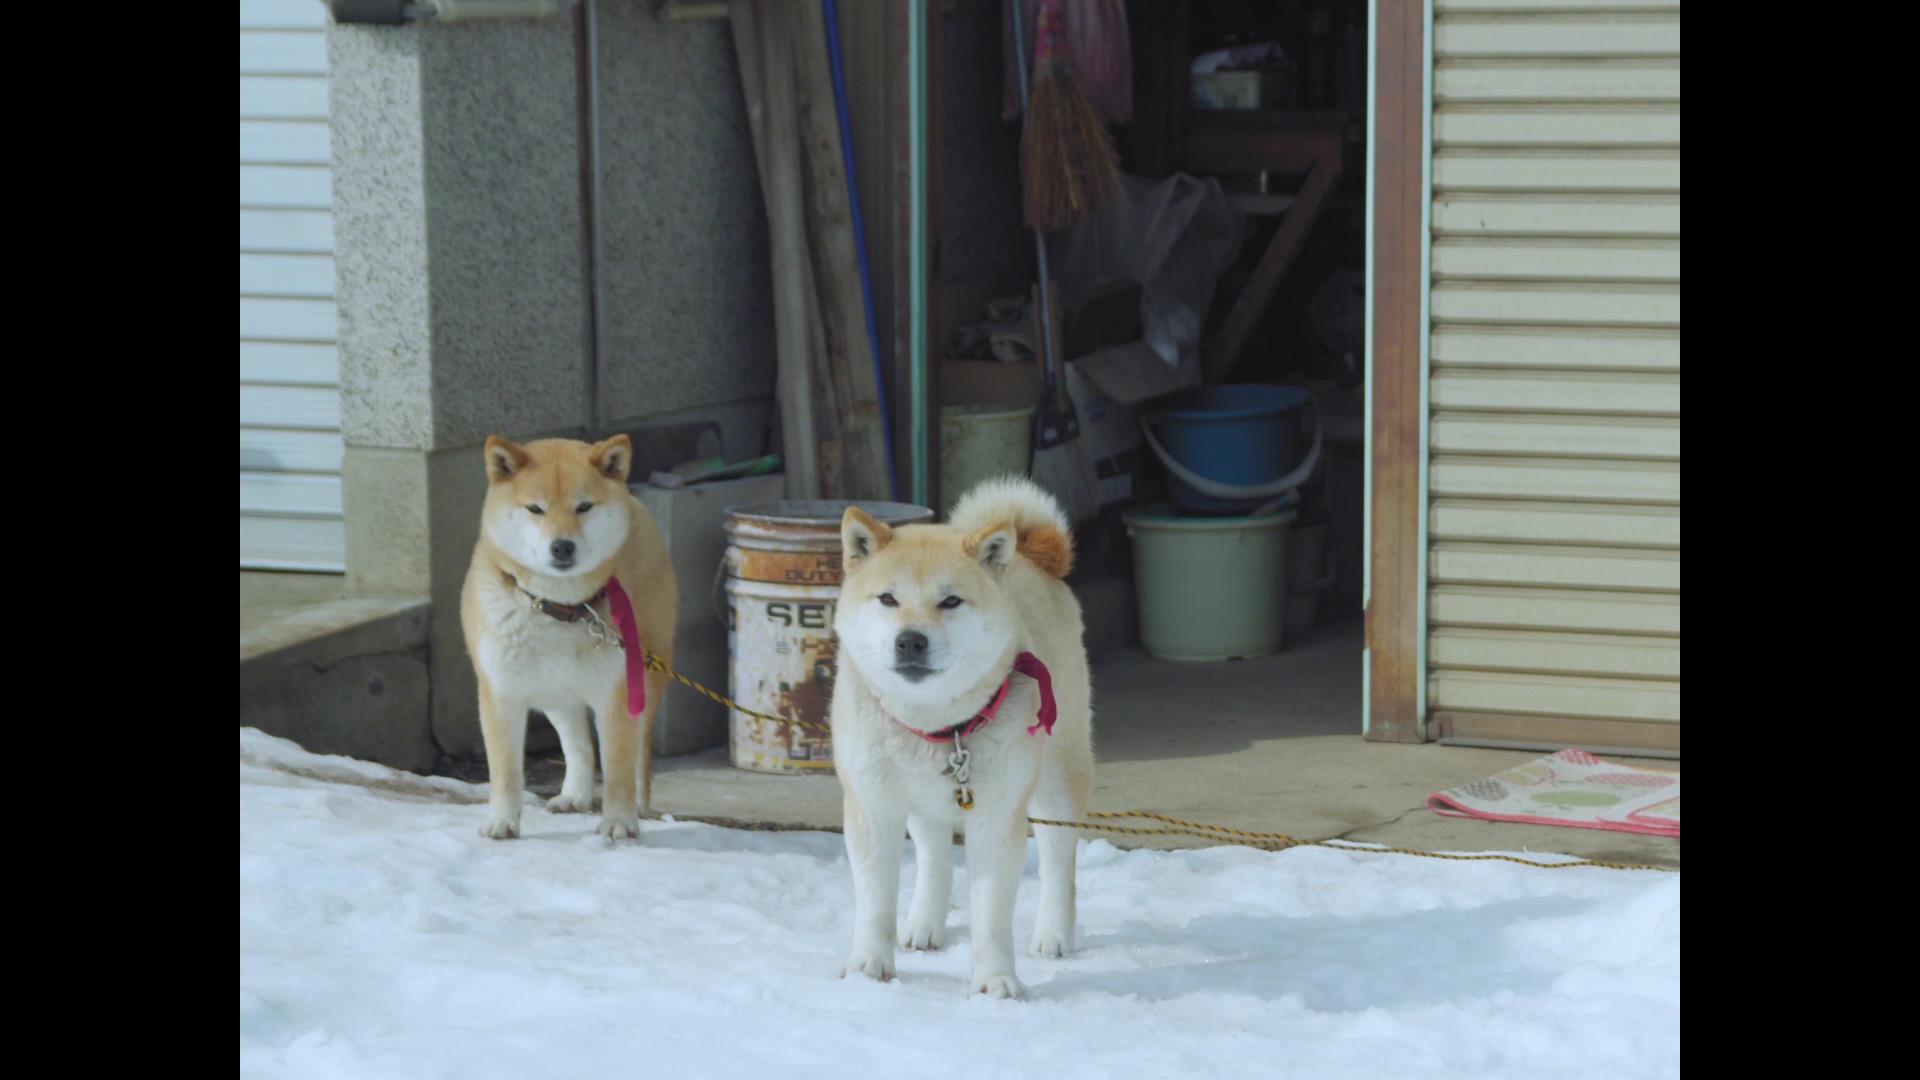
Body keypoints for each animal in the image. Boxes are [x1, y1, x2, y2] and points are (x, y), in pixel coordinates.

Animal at [460, 432, 679, 837]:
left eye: (584, 507)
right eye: (535, 508)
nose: (562, 545)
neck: (559, 608)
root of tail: (636, 501)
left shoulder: (617, 693)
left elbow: (618, 768)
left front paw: (618, 822)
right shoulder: (501, 692)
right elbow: (505, 772)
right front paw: (501, 822)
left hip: (646, 676)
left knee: (639, 754)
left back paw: (638, 807)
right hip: (554, 691)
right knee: (579, 746)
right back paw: (575, 795)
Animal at [829, 474, 1090, 999]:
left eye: (950, 601)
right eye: (887, 599)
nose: (910, 640)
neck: (937, 727)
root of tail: (1032, 554)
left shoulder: (997, 815)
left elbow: (991, 911)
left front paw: (995, 981)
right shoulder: (873, 804)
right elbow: (875, 901)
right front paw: (868, 967)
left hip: (1057, 776)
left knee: (1058, 859)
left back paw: (1053, 934)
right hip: (921, 798)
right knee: (933, 852)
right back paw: (924, 923)